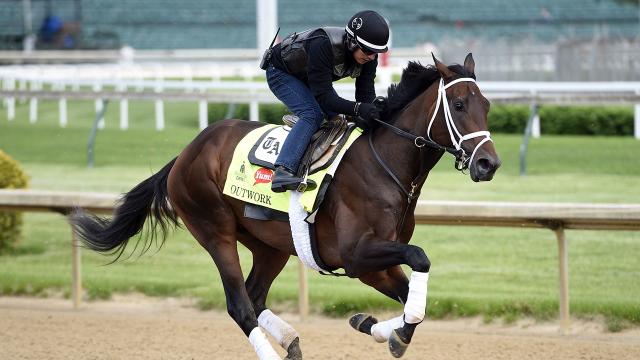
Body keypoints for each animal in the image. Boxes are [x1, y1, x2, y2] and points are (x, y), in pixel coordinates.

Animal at [70, 54, 500, 360]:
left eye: (488, 105)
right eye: (459, 105)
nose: (488, 163)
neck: (384, 164)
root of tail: (184, 154)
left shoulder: (372, 265)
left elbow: (415, 303)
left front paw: (376, 326)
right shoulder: (357, 255)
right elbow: (420, 259)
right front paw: (393, 334)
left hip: (270, 244)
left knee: (255, 295)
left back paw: (291, 340)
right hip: (214, 229)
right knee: (240, 306)